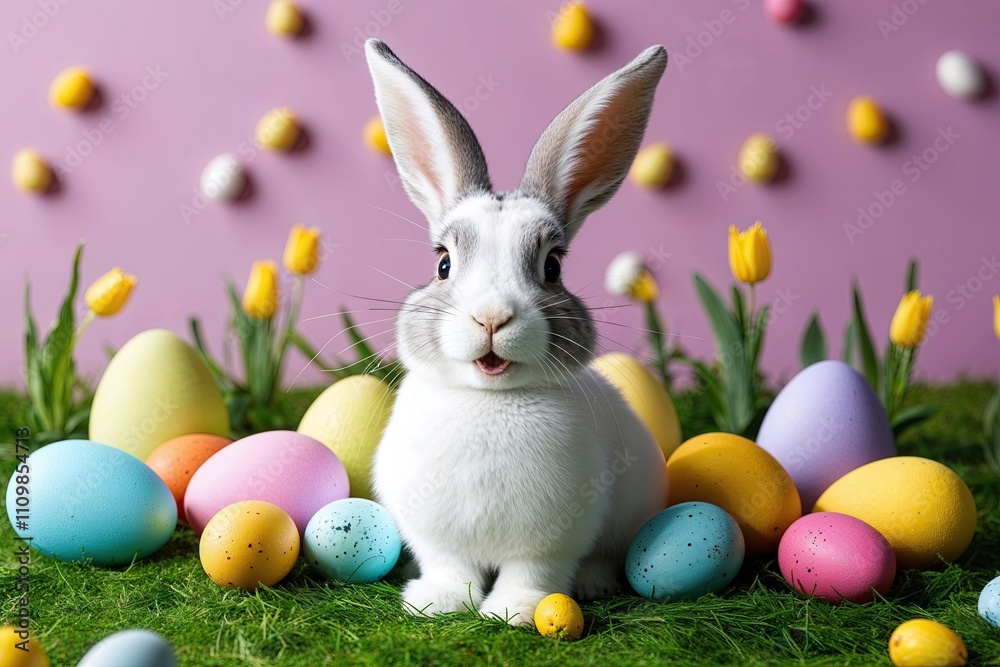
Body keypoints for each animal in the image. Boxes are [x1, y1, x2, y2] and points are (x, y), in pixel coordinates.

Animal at [365, 38, 670, 626]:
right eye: (442, 263)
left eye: (552, 266)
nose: (492, 317)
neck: (488, 400)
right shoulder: (437, 538)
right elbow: (450, 567)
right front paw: (435, 604)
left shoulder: (551, 543)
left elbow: (534, 574)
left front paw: (514, 612)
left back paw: (594, 584)